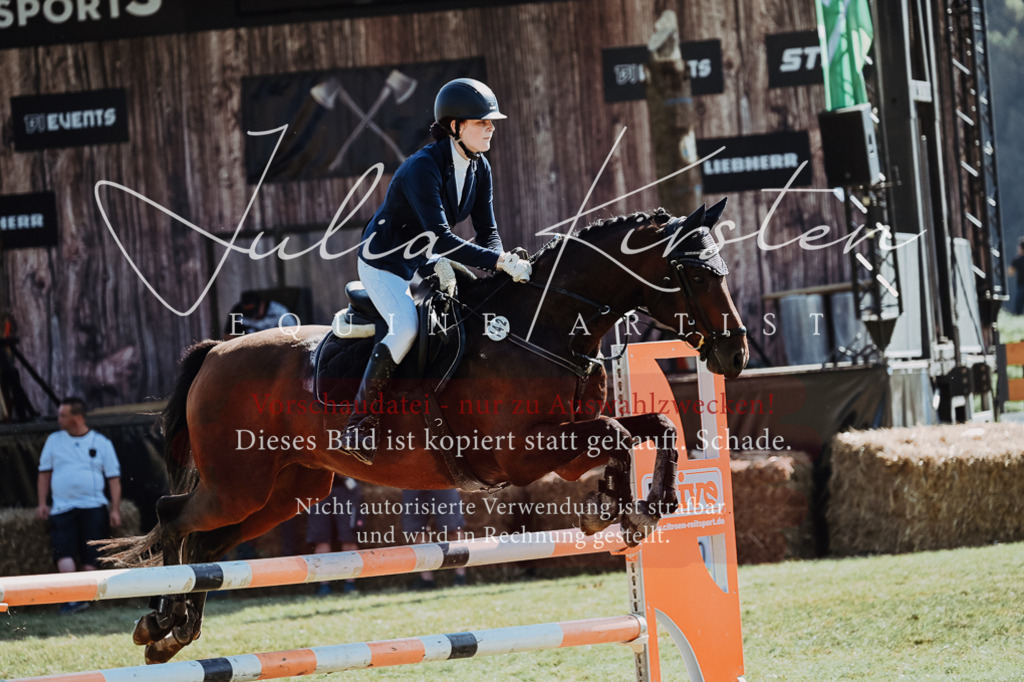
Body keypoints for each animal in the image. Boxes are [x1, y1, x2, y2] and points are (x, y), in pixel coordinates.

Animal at [102, 202, 748, 664]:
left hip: (286, 492)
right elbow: (617, 431)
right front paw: (619, 510)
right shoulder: (521, 454)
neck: (543, 328)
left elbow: (652, 427)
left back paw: (175, 633)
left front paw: (634, 507)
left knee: (205, 549)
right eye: (692, 272)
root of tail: (216, 351)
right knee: (173, 517)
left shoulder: (560, 449)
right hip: (237, 484)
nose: (735, 354)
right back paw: (160, 625)